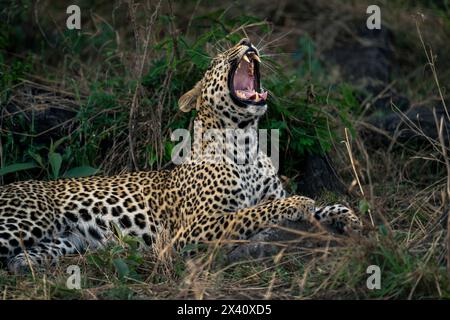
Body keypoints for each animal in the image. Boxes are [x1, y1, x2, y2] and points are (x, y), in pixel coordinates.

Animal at [0, 38, 362, 272]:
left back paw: (24, 266)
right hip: (24, 221)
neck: (246, 142)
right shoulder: (192, 230)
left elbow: (324, 207)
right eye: (217, 60)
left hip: (63, 240)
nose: (247, 40)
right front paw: (299, 202)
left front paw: (350, 219)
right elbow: (252, 212)